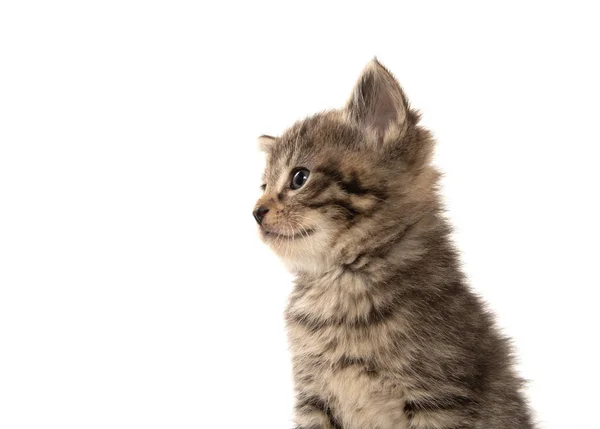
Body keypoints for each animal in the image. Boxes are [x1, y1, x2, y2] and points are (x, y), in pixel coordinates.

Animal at [253, 59, 536, 428]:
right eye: (263, 186)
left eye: (299, 178)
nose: (256, 212)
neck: (340, 283)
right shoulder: (314, 400)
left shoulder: (439, 397)